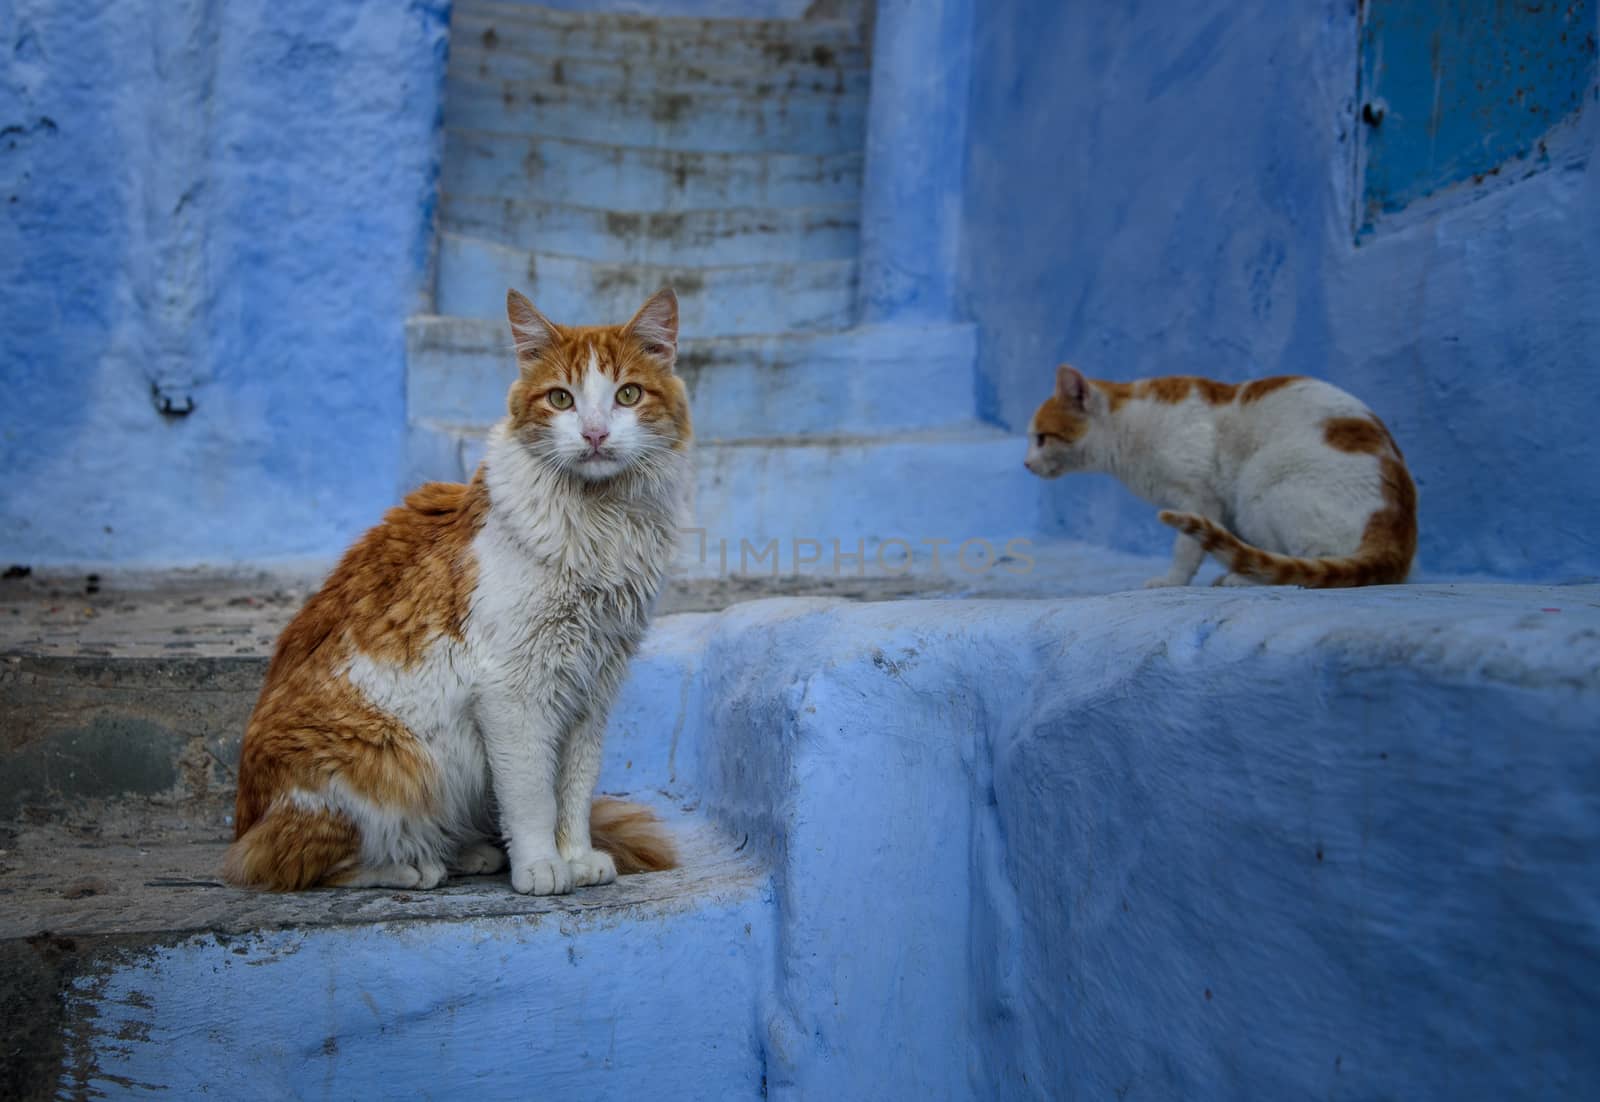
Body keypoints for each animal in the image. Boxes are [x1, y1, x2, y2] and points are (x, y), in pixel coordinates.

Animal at [227, 286, 694, 895]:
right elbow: (532, 795)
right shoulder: (513, 690)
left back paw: (467, 853)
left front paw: (576, 855)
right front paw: (541, 866)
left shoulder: (592, 686)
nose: (594, 434)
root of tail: (244, 820)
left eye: (628, 394)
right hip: (388, 760)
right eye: (561, 399)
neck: (602, 522)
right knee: (293, 863)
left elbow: (573, 789)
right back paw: (412, 865)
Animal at [1024, 364, 1414, 588]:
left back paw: (1245, 578)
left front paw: (1172, 581)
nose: (1026, 464)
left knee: (1311, 563)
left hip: (1260, 484)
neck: (1127, 429)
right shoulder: (1217, 511)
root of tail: (1399, 534)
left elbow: (1187, 548)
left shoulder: (1198, 498)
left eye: (1042, 438)